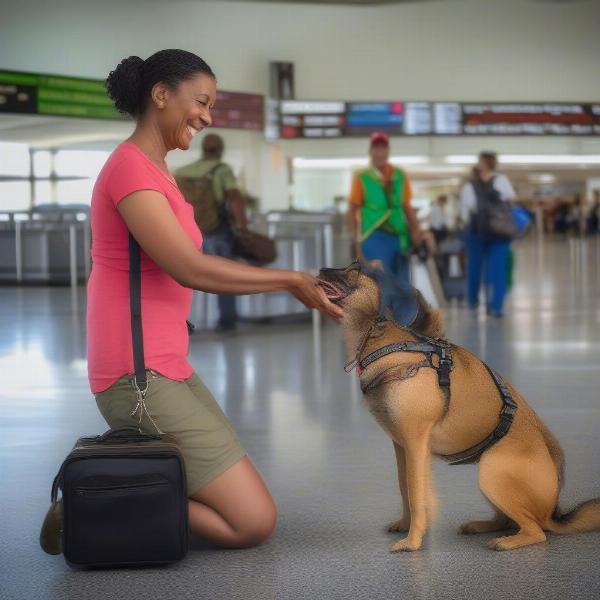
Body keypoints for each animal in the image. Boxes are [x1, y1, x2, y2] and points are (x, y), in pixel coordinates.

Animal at [316, 264, 596, 552]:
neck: (389, 344)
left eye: (353, 269)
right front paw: (406, 525)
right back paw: (482, 526)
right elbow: (404, 487)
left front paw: (413, 541)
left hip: (491, 471)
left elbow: (416, 493)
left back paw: (507, 542)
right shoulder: (401, 446)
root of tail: (553, 512)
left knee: (536, 531)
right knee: (507, 520)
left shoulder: (416, 445)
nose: (321, 268)